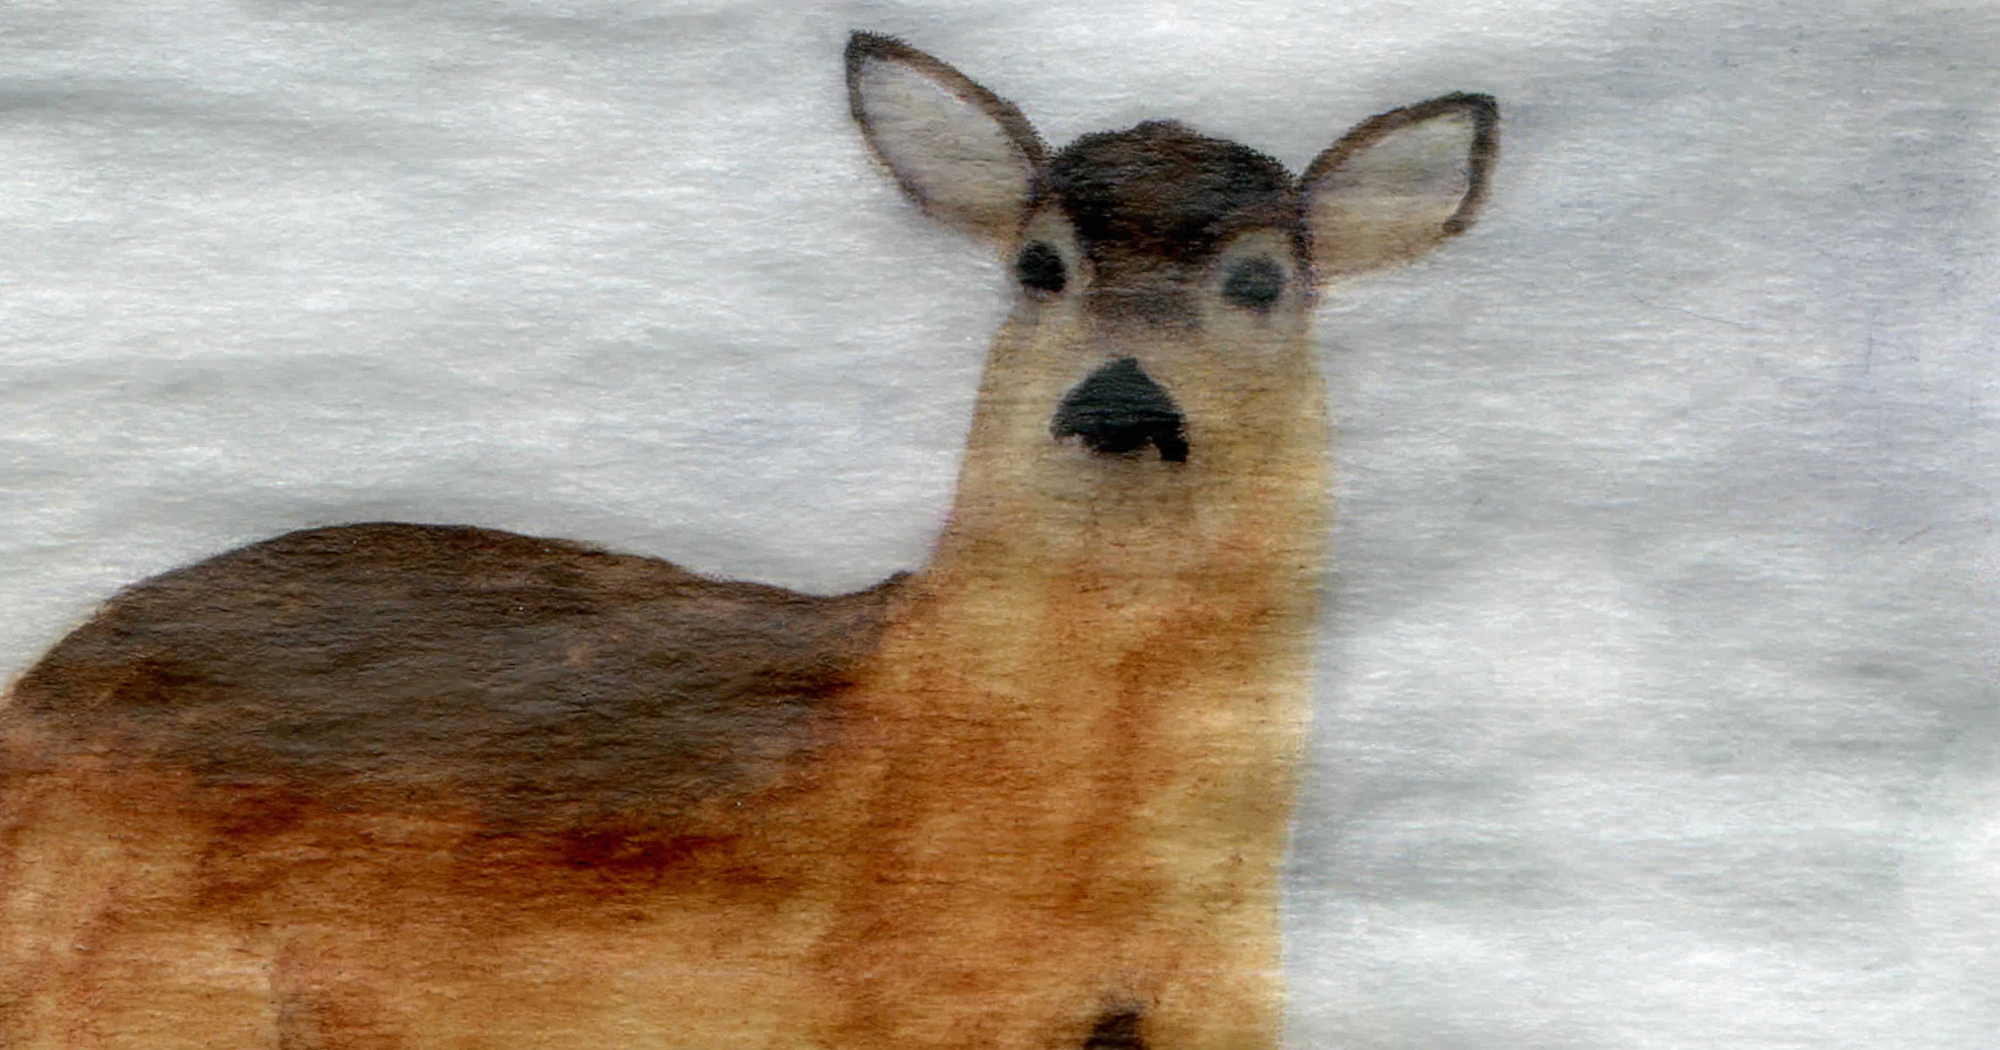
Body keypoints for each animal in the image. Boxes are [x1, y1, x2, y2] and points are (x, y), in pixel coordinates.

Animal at [0, 32, 1496, 1050]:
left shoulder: (1227, 994)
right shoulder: (888, 1006)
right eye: (1038, 265)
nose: (1120, 401)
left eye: (1261, 278)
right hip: (132, 984)